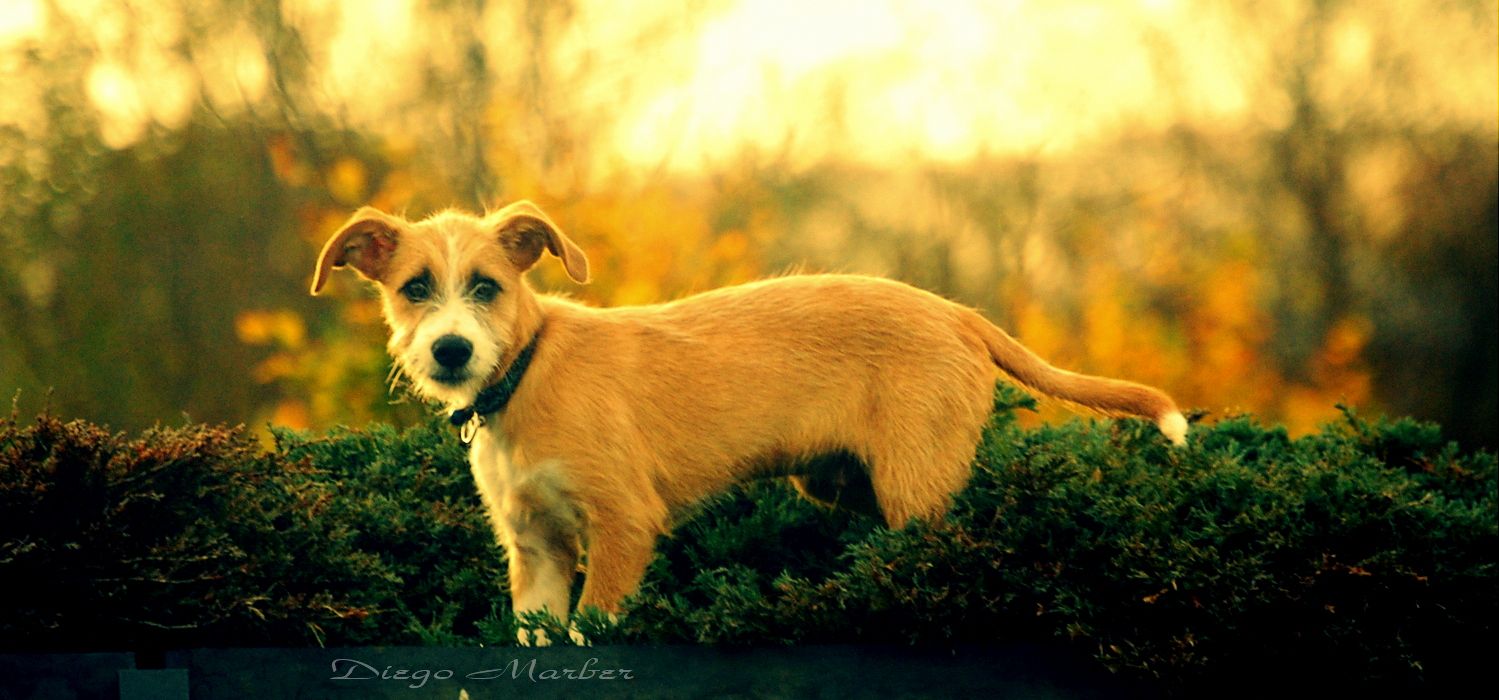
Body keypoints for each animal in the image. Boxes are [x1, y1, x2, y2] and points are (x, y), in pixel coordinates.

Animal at [310, 199, 1187, 644]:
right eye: (413, 288)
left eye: (486, 287)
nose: (450, 352)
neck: (526, 375)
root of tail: (959, 315)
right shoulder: (536, 553)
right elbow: (542, 642)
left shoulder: (624, 523)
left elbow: (595, 629)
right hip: (845, 485)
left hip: (917, 487)